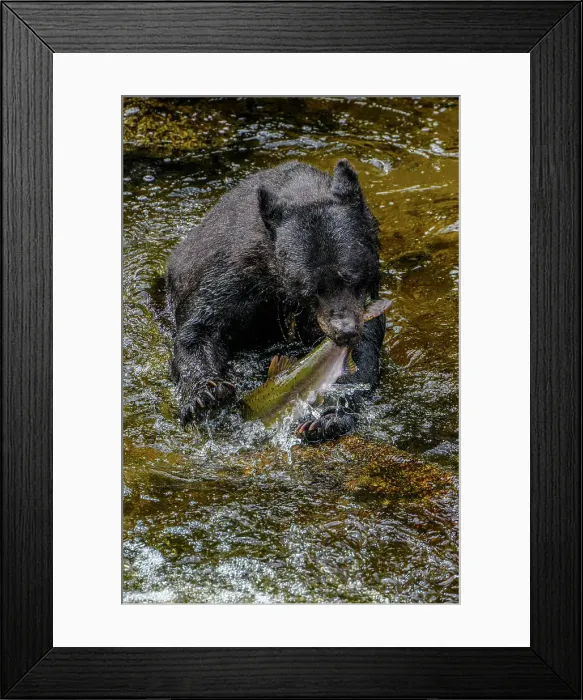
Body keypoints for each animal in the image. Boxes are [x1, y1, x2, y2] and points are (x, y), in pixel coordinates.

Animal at [166, 159, 385, 441]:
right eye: (311, 289)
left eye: (352, 277)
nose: (344, 332)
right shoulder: (235, 272)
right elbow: (201, 327)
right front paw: (206, 394)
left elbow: (364, 351)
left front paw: (329, 417)